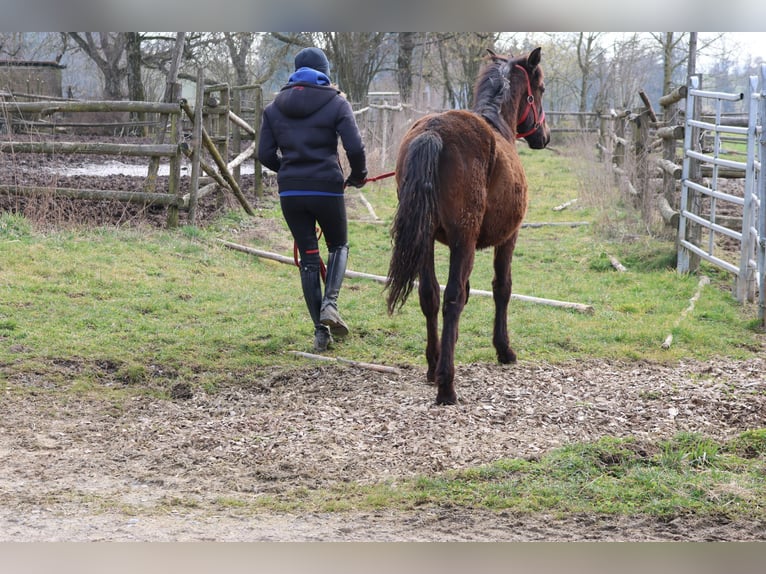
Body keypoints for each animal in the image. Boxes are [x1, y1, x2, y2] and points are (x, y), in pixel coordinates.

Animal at [388, 48, 548, 404]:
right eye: (542, 89)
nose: (544, 137)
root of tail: (433, 131)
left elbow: (461, 292)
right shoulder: (508, 238)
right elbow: (501, 288)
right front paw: (504, 349)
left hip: (426, 240)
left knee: (431, 295)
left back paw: (434, 366)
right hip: (463, 240)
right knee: (451, 299)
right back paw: (447, 385)